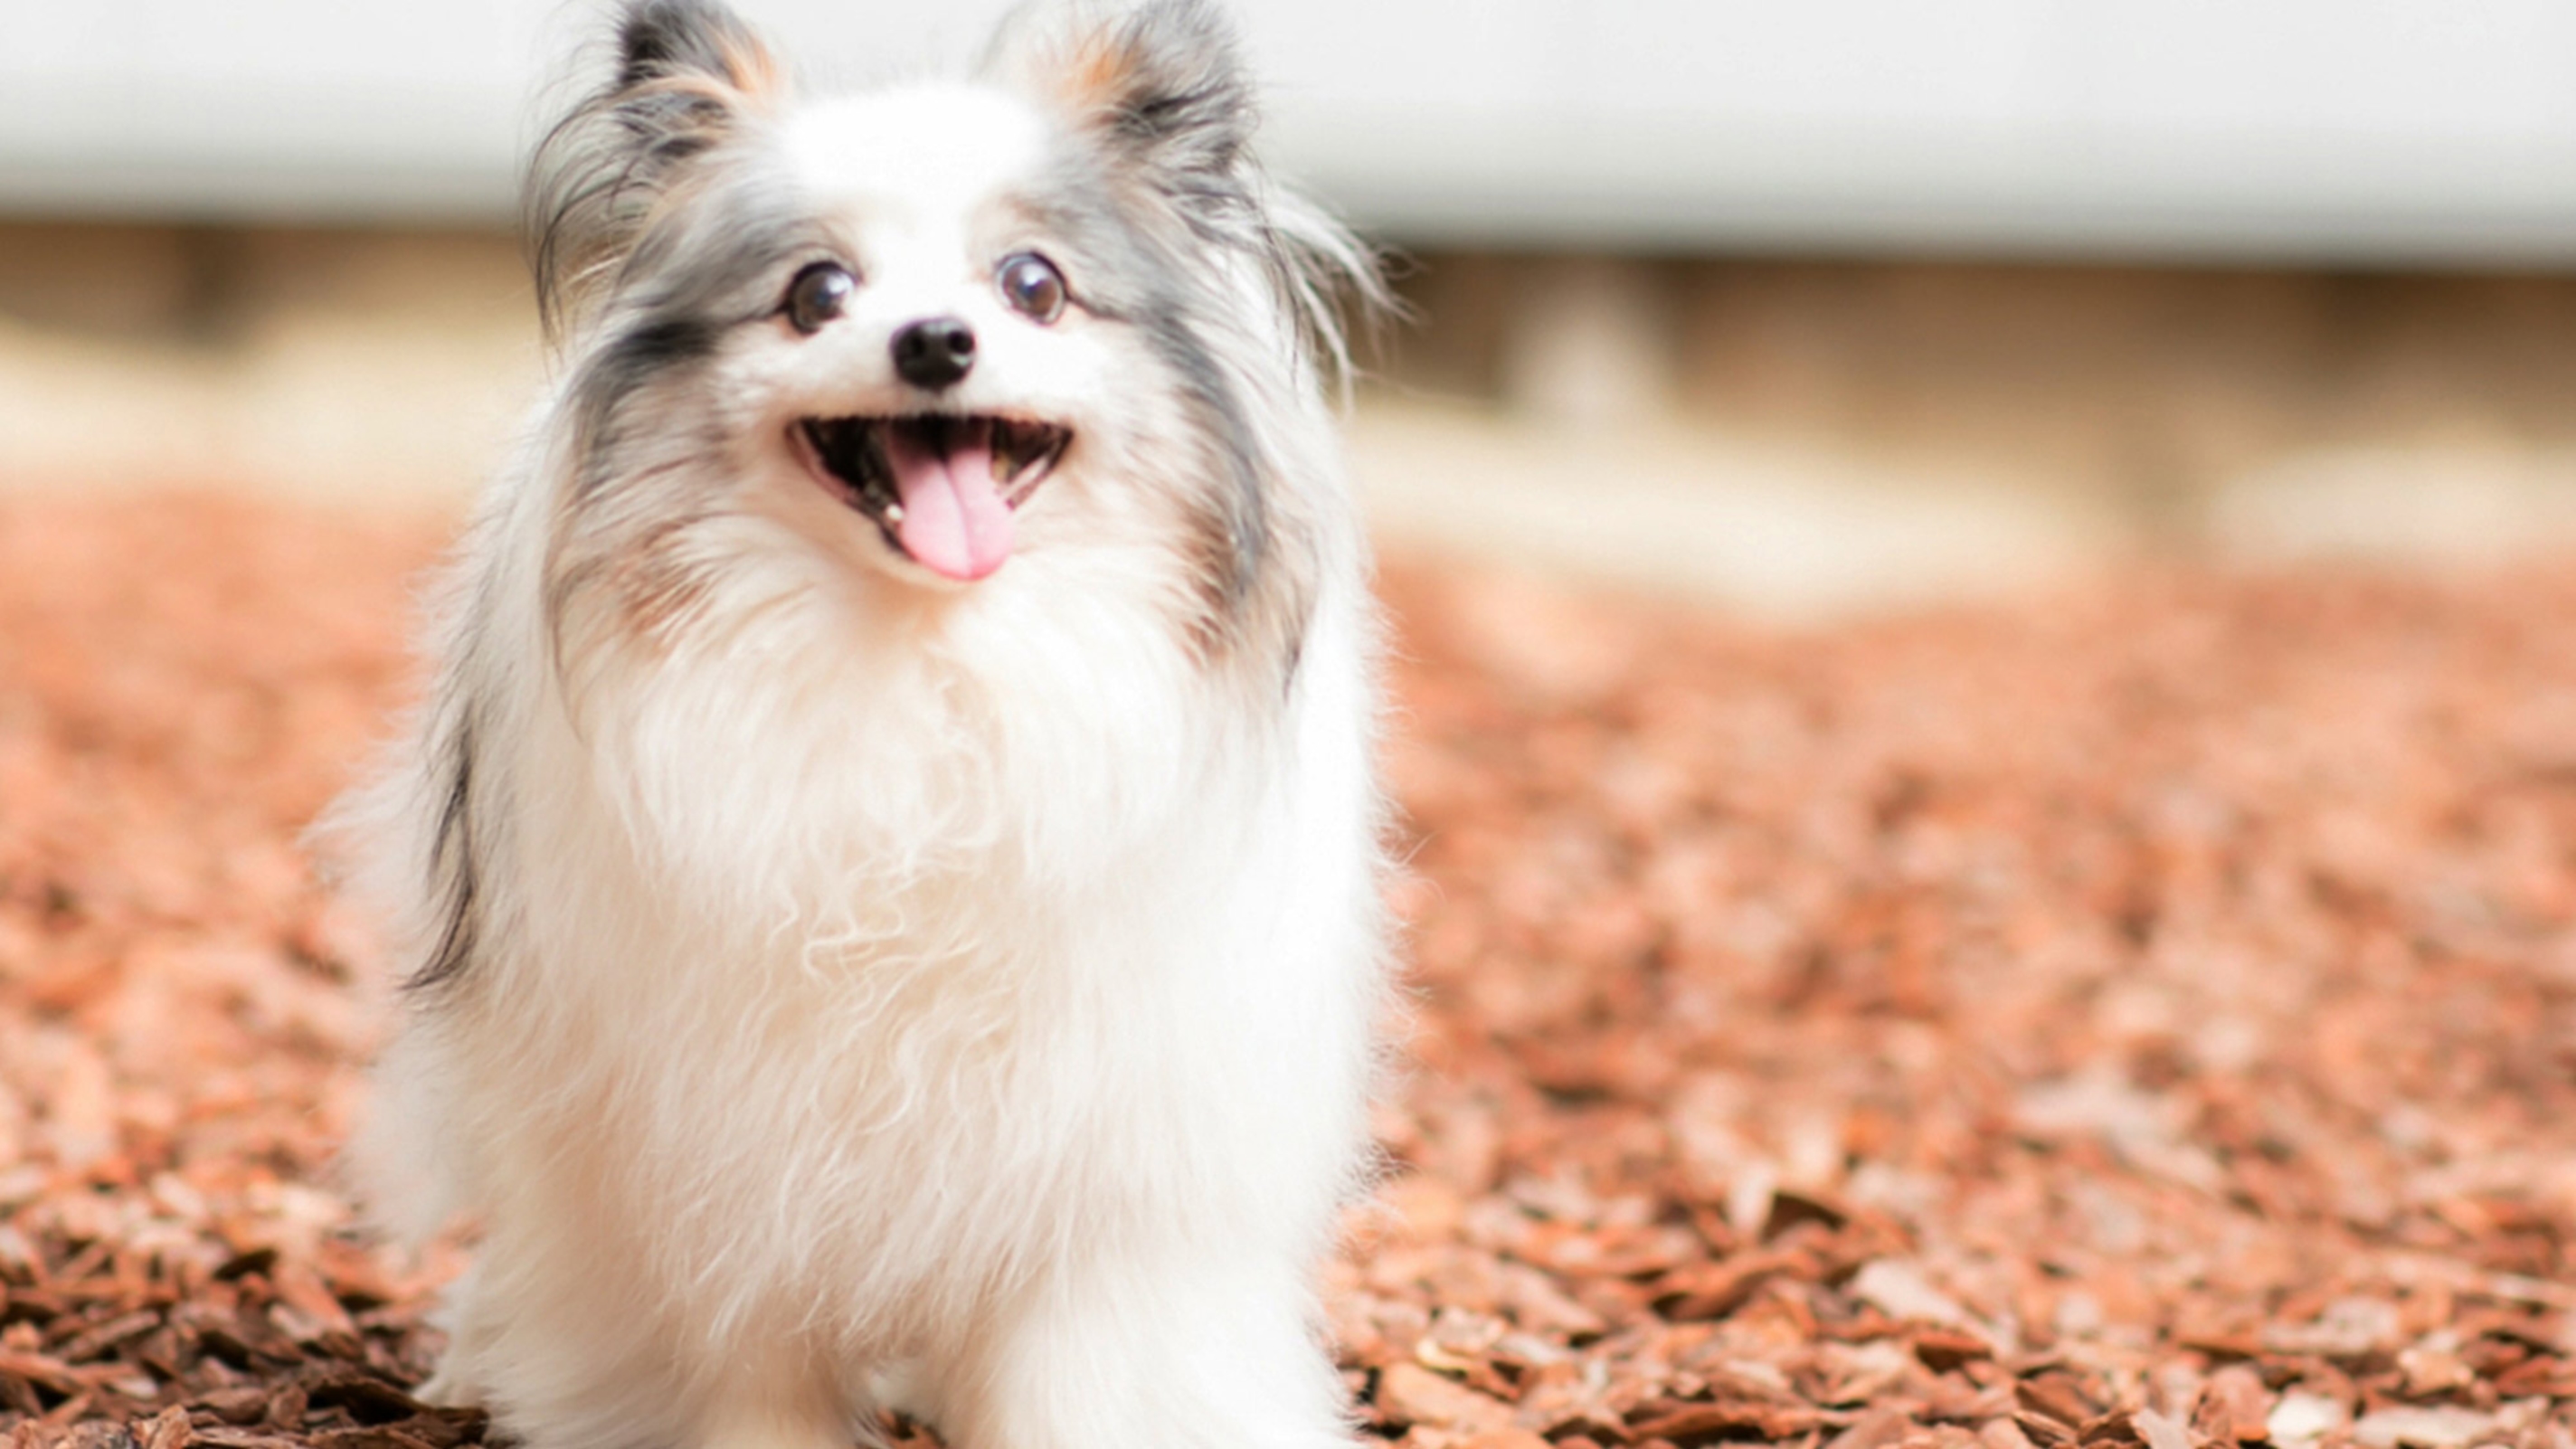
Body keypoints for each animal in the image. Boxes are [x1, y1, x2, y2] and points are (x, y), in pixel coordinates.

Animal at [332, 3, 1401, 1444]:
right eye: (817, 295)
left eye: (1033, 286)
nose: (935, 341)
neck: (921, 666)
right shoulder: (709, 1164)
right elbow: (744, 1367)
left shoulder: (1099, 1179)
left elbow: (1078, 1373)